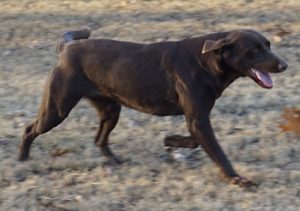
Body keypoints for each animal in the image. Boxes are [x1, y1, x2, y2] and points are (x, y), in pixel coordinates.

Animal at [18, 28, 286, 188]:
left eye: (268, 45)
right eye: (253, 50)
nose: (284, 65)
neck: (206, 61)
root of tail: (67, 48)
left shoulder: (197, 118)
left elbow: (196, 141)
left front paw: (171, 140)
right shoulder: (197, 119)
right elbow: (218, 153)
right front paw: (237, 178)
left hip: (111, 110)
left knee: (99, 138)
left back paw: (114, 160)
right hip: (57, 109)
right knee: (30, 129)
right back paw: (23, 158)